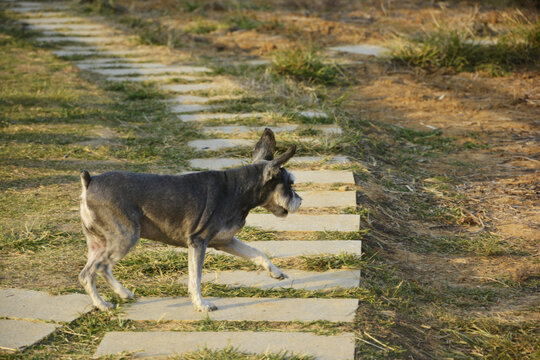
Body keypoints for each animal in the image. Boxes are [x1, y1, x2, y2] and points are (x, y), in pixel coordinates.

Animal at [78, 129, 302, 312]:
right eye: (290, 184)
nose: (299, 201)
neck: (238, 190)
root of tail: (90, 182)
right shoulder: (198, 242)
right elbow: (195, 278)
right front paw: (201, 304)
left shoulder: (224, 241)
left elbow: (257, 253)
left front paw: (276, 272)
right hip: (127, 236)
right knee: (94, 271)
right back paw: (105, 303)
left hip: (100, 242)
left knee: (95, 270)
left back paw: (119, 295)